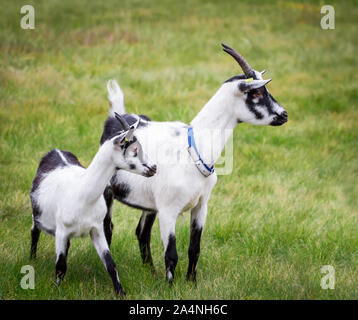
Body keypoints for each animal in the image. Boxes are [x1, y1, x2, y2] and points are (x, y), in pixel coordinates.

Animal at [31, 114, 157, 296]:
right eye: (134, 150)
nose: (154, 168)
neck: (82, 193)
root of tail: (55, 150)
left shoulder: (96, 229)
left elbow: (110, 264)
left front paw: (121, 292)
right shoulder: (61, 231)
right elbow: (60, 265)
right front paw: (56, 289)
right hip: (36, 215)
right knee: (34, 231)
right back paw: (32, 260)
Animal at [100, 42, 288, 282]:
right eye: (256, 92)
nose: (284, 115)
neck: (193, 148)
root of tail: (117, 117)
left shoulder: (201, 206)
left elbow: (194, 249)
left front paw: (191, 282)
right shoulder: (169, 210)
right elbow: (171, 254)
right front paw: (171, 286)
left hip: (149, 203)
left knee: (142, 232)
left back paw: (151, 272)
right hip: (107, 193)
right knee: (108, 229)